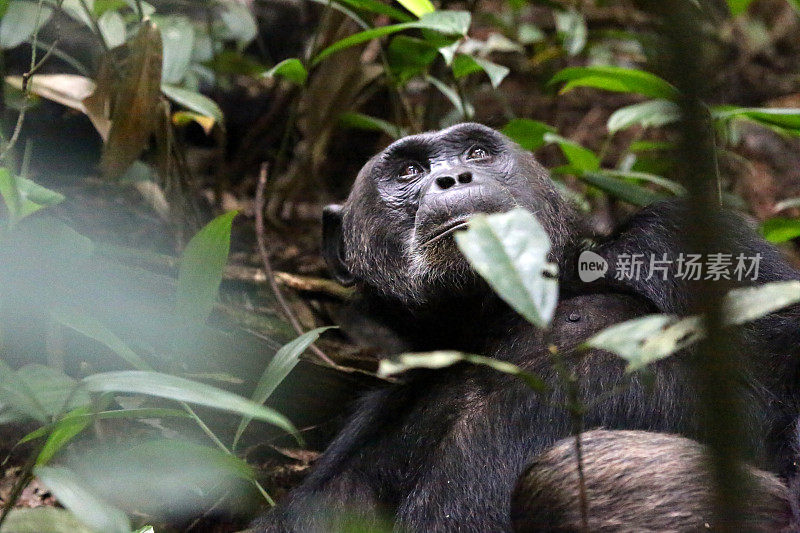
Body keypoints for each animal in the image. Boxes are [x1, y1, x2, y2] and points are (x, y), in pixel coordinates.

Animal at [255, 122, 800, 528]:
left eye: (477, 151)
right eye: (409, 170)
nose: (456, 177)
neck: (493, 325)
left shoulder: (680, 240)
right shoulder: (357, 442)